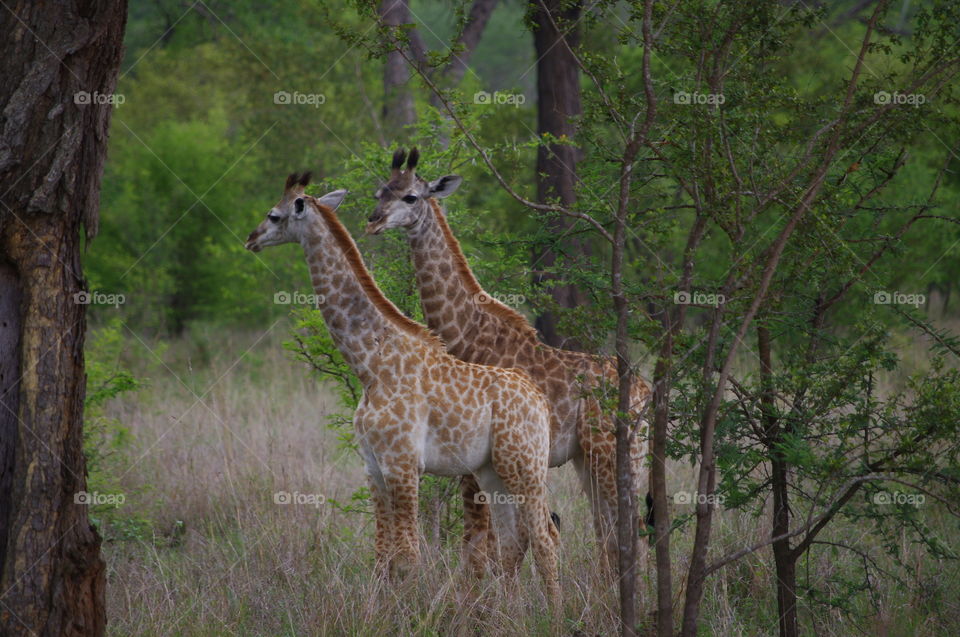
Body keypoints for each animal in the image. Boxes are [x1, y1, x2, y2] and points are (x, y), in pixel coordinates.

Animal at [245, 172, 560, 604]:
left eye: (274, 215)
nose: (251, 239)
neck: (370, 365)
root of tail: (540, 402)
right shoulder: (373, 466)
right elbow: (382, 557)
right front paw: (378, 610)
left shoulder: (403, 462)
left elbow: (408, 556)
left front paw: (411, 610)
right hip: (492, 470)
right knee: (515, 539)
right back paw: (507, 611)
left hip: (525, 464)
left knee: (544, 538)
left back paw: (557, 610)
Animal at [366, 148, 653, 578]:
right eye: (380, 192)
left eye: (411, 196)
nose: (374, 220)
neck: (466, 332)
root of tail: (644, 389)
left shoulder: (473, 463)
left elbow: (480, 546)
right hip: (593, 459)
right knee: (610, 531)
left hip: (612, 452)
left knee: (630, 529)